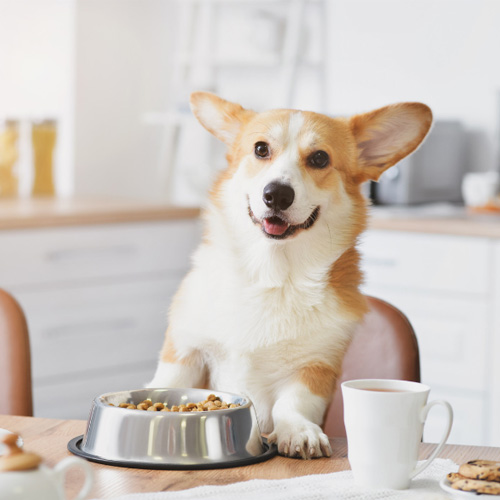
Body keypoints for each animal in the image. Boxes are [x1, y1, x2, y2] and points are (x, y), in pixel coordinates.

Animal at [147, 92, 430, 458]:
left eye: (320, 158)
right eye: (260, 149)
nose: (277, 194)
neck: (271, 275)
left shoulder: (316, 368)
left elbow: (293, 404)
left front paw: (298, 431)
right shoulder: (185, 351)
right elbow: (168, 384)